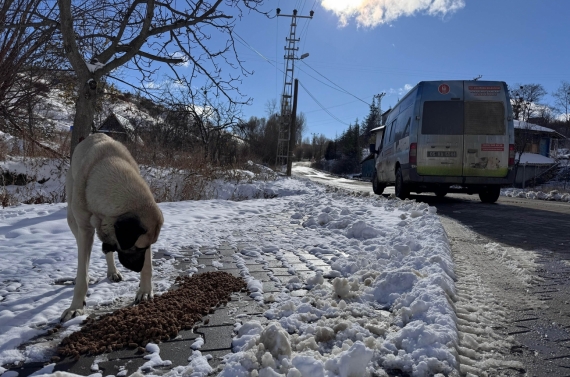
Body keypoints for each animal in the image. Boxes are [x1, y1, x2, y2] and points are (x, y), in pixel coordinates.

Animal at [62, 132, 164, 320]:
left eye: (144, 247)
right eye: (135, 247)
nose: (136, 269)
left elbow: (148, 266)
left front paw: (145, 291)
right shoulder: (85, 230)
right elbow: (82, 274)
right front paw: (76, 307)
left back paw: (113, 271)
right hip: (73, 219)